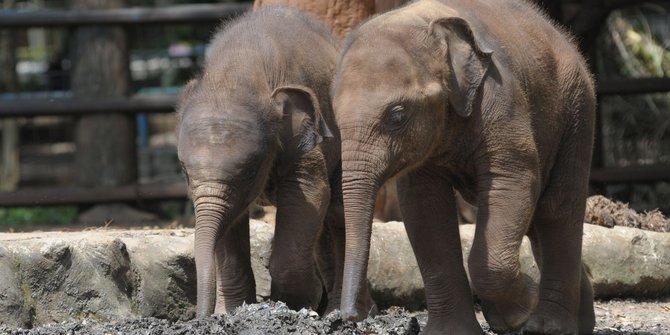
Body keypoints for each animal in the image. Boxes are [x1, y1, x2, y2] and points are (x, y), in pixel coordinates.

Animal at [176, 6, 372, 318]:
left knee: (339, 210)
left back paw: (339, 311)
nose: (201, 317)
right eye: (183, 170)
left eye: (250, 171)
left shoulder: (305, 136)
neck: (239, 69)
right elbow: (231, 220)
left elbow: (309, 194)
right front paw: (230, 313)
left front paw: (298, 302)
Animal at [334, 0, 600, 335]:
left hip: (577, 110)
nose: (352, 316)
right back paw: (580, 323)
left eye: (397, 116)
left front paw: (520, 311)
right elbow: (424, 208)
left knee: (556, 209)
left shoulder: (500, 97)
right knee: (537, 222)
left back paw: (547, 326)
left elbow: (512, 179)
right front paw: (452, 331)